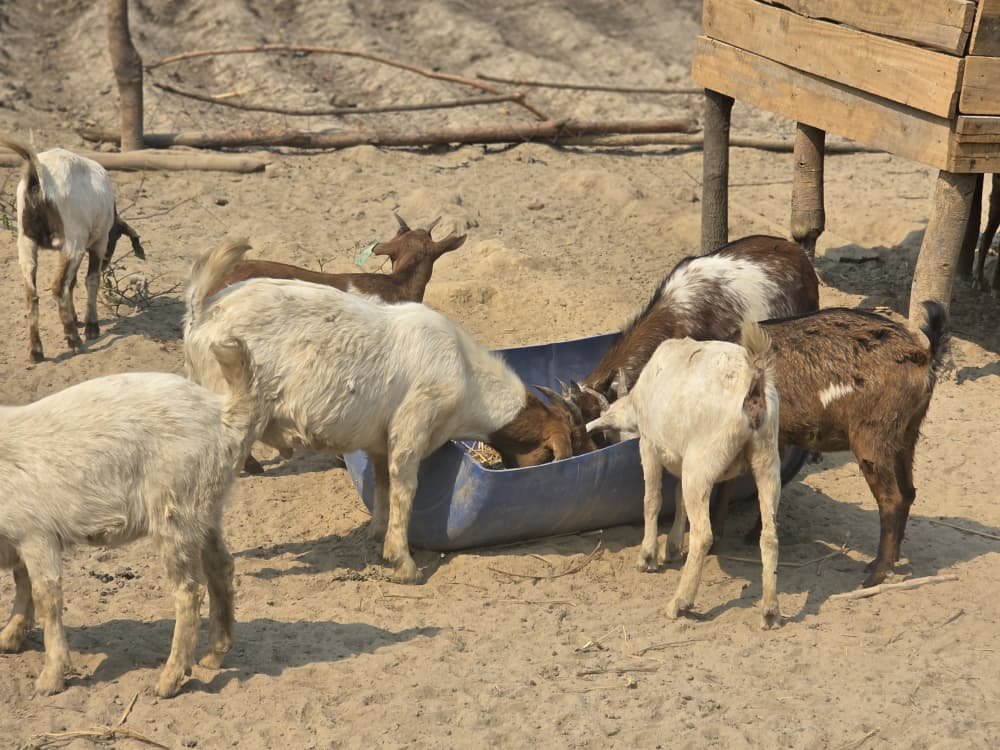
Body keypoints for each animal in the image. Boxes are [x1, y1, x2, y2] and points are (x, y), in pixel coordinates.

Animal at [0, 339, 254, 697]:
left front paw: (51, 678)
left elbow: (45, 595)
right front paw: (9, 637)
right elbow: (22, 583)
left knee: (189, 590)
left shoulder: (36, 533)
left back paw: (169, 679)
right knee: (221, 567)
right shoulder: (18, 534)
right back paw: (214, 655)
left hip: (174, 507)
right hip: (205, 507)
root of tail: (225, 414)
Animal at [1, 136, 144, 362]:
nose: (107, 263)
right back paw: (74, 340)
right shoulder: (98, 242)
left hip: (26, 242)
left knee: (31, 293)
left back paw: (36, 351)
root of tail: (36, 174)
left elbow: (73, 282)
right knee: (58, 287)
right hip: (71, 240)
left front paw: (77, 319)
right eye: (115, 238)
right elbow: (91, 280)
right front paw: (91, 327)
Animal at [184, 240, 594, 583]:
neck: (466, 376)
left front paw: (377, 535)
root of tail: (204, 312)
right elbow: (404, 487)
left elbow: (382, 484)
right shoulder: (413, 424)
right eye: (555, 451)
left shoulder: (378, 440)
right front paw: (403, 563)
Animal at [587, 321, 782, 628]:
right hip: (767, 458)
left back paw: (680, 602)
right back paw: (770, 610)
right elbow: (678, 499)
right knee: (770, 534)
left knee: (703, 535)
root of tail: (753, 382)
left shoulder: (649, 446)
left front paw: (648, 556)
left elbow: (652, 500)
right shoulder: (679, 457)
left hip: (702, 461)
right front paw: (673, 546)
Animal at [712, 302, 949, 588]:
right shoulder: (776, 439)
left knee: (892, 499)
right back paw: (889, 561)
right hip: (906, 437)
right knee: (909, 492)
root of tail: (924, 354)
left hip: (871, 440)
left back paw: (876, 574)